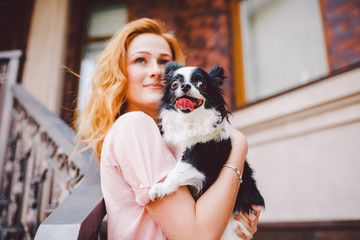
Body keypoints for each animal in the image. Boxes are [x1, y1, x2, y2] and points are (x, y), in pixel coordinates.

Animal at [149, 61, 264, 238]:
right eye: (174, 84)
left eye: (201, 84)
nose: (185, 85)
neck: (189, 121)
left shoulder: (202, 157)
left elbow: (179, 169)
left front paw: (160, 187)